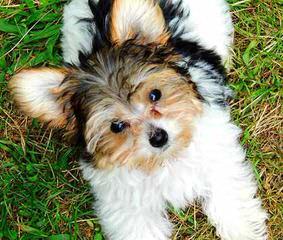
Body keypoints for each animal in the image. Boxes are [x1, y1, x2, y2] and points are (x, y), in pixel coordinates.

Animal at [10, 0, 270, 240]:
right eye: (116, 126)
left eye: (155, 94)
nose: (159, 137)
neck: (166, 159)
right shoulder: (125, 206)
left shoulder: (218, 158)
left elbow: (230, 196)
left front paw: (243, 230)